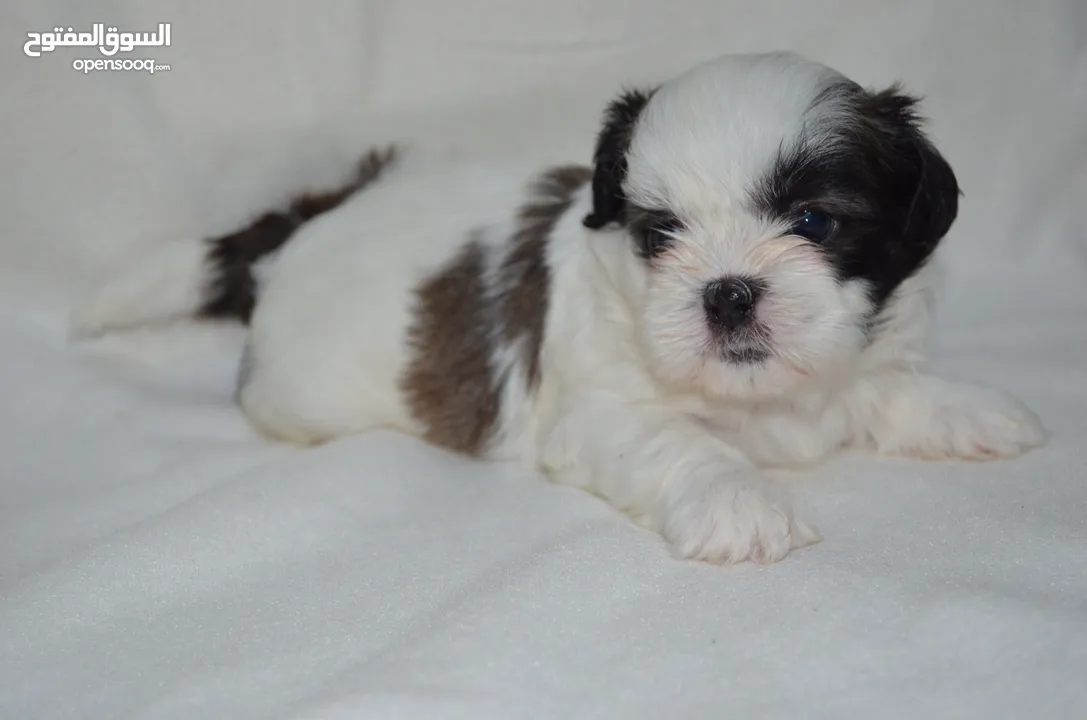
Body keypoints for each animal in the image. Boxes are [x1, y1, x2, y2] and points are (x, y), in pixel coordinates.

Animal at [74, 53, 1043, 565]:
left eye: (813, 222)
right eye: (659, 234)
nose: (727, 291)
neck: (765, 399)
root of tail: (323, 212)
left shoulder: (855, 356)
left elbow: (888, 385)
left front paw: (966, 409)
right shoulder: (602, 410)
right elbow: (680, 444)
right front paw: (738, 500)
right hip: (297, 392)